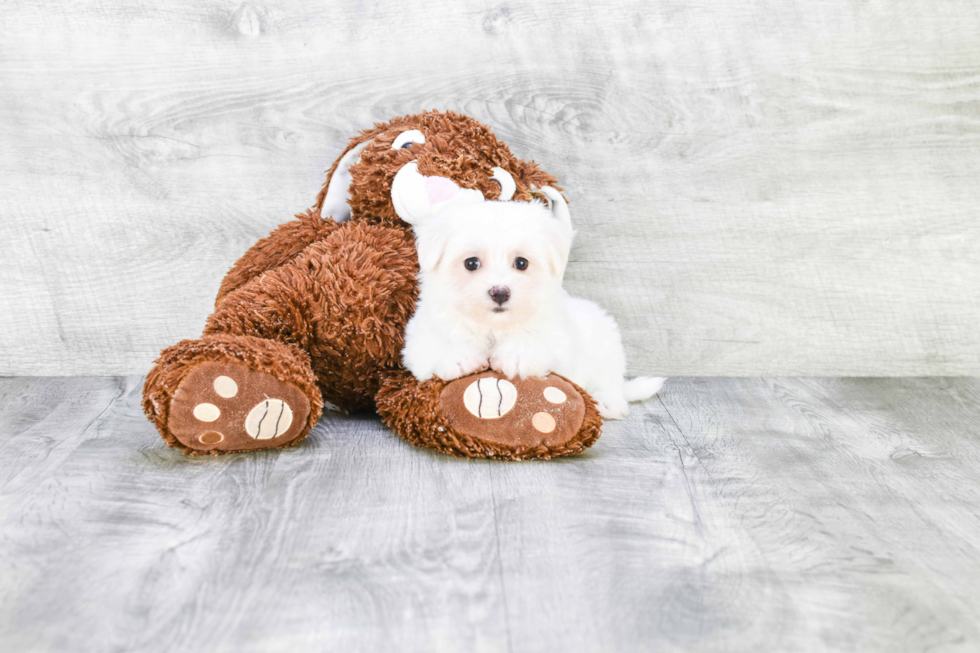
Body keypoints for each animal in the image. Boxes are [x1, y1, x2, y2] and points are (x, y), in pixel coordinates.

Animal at [400, 187, 668, 418]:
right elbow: (433, 346)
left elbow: (539, 341)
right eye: (471, 263)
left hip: (605, 345)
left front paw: (517, 355)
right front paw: (458, 356)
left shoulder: (559, 338)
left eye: (521, 263)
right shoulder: (418, 337)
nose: (500, 292)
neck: (494, 326)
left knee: (609, 380)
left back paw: (608, 402)